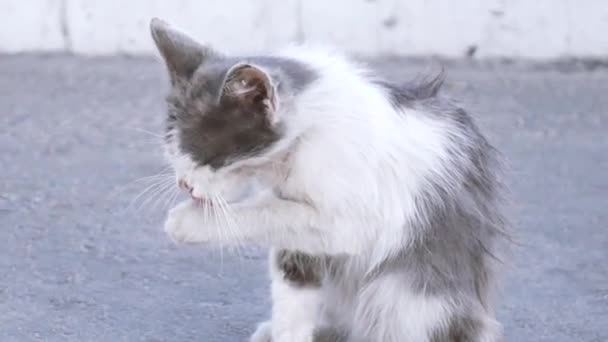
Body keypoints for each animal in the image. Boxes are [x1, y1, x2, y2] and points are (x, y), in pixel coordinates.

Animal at [151, 18, 508, 342]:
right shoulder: (301, 244)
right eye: (171, 151)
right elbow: (295, 285)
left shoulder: (355, 218)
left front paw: (187, 222)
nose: (184, 185)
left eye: (207, 157)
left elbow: (276, 211)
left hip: (411, 295)